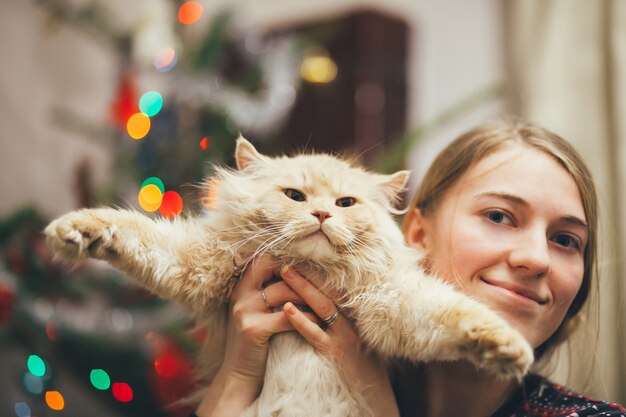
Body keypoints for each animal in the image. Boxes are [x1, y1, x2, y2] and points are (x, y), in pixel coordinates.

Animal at [44, 138, 532, 414]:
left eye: (345, 204)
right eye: (295, 196)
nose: (320, 215)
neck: (309, 268)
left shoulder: (390, 306)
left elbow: (454, 315)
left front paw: (508, 349)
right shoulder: (196, 264)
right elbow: (130, 230)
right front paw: (73, 231)